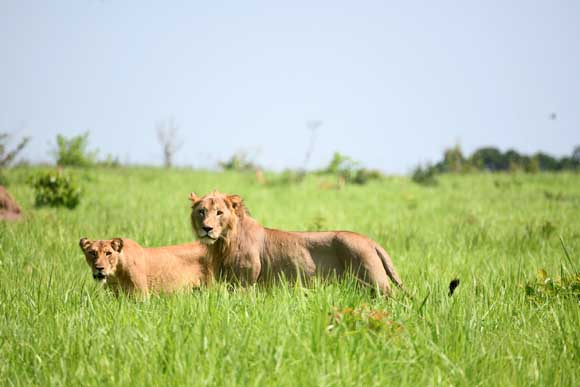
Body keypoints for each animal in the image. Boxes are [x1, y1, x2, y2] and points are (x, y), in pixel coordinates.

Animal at [188, 191, 406, 298]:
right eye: (201, 211)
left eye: (219, 212)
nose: (207, 228)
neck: (224, 242)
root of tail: (370, 241)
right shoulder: (231, 283)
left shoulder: (245, 282)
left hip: (376, 282)